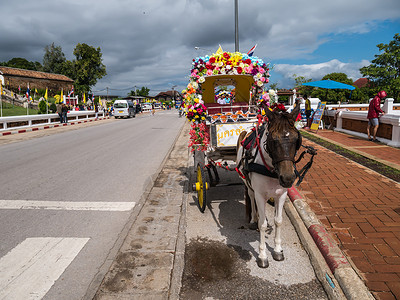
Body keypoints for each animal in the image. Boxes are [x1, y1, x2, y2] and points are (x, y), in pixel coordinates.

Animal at [236, 105, 302, 268]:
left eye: (296, 139)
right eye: (272, 140)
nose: (288, 178)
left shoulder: (281, 194)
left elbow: (278, 221)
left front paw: (277, 250)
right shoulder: (260, 194)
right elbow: (263, 224)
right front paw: (262, 255)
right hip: (248, 184)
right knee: (251, 197)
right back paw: (253, 218)